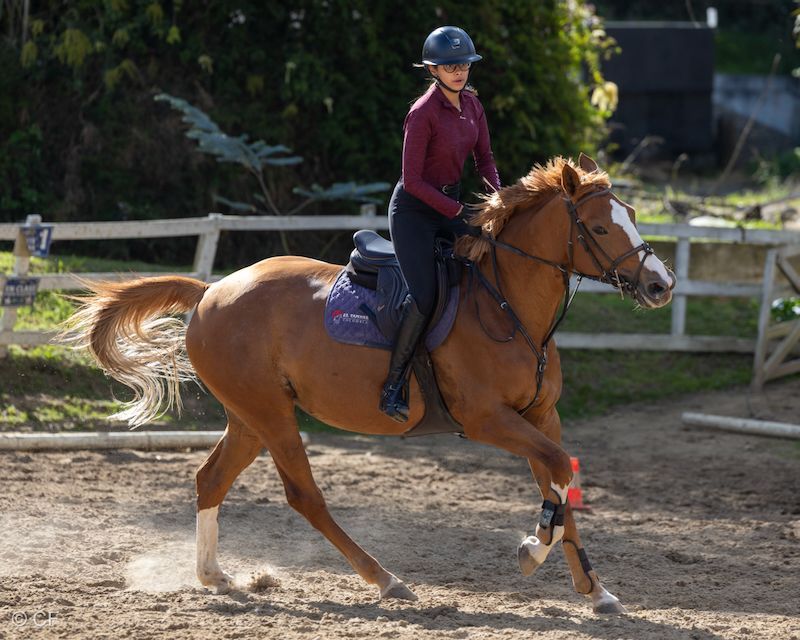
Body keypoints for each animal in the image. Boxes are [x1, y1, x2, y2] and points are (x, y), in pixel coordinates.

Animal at [64, 154, 675, 614]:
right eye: (600, 227)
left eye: (633, 214)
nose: (660, 284)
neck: (505, 305)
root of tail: (212, 290)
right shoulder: (487, 420)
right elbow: (556, 472)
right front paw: (532, 551)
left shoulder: (539, 417)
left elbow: (560, 478)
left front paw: (595, 592)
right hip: (271, 416)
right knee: (304, 496)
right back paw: (385, 579)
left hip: (249, 417)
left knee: (211, 478)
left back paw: (214, 575)